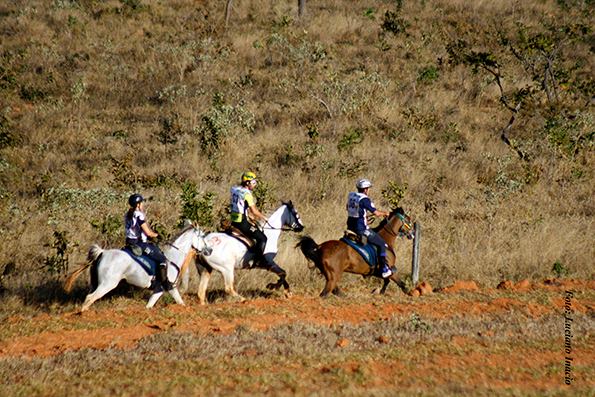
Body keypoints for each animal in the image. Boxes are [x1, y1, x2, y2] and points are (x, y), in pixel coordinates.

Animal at [63, 224, 210, 310]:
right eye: (202, 237)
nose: (209, 250)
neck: (173, 257)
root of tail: (102, 252)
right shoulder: (167, 287)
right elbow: (178, 301)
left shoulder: (161, 288)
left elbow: (152, 305)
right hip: (107, 284)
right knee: (90, 298)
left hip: (97, 284)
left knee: (89, 297)